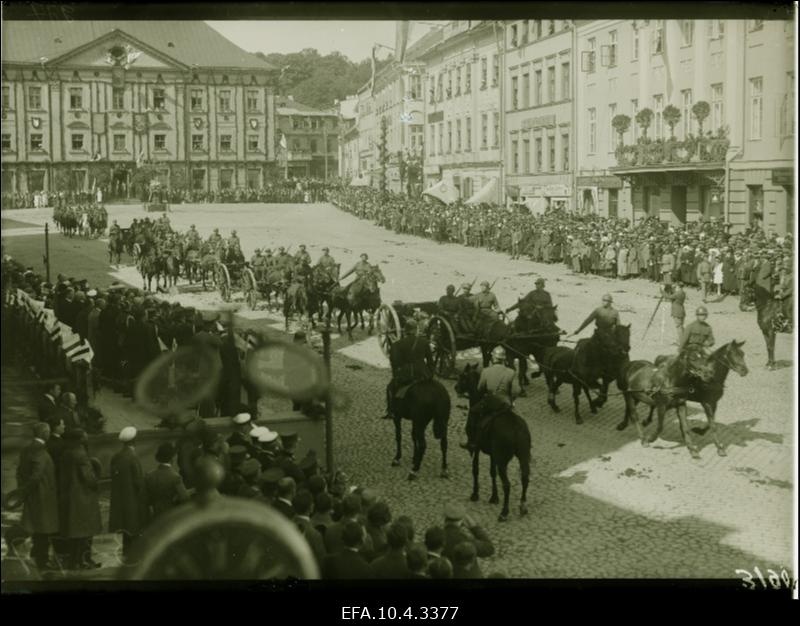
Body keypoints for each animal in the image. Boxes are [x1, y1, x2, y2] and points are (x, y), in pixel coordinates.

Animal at [456, 364, 532, 520]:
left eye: (462, 376)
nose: (456, 387)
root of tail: (516, 428)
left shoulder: (477, 448)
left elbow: (475, 470)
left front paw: (475, 494)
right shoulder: (493, 454)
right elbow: (492, 472)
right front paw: (494, 497)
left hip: (502, 460)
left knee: (507, 484)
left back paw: (504, 512)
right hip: (522, 456)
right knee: (525, 478)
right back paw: (522, 506)